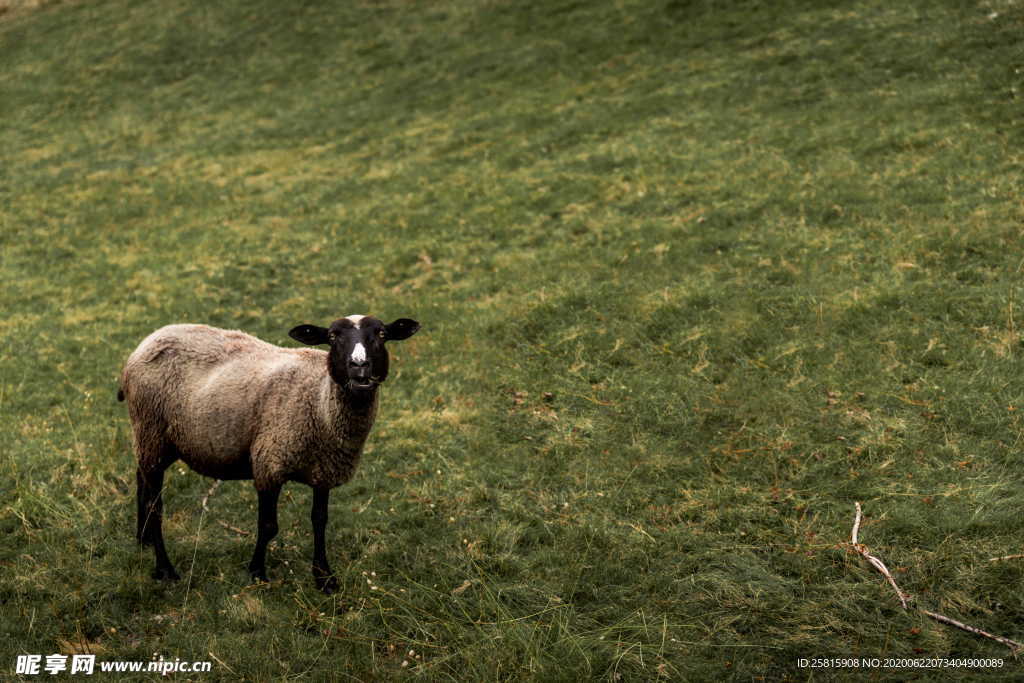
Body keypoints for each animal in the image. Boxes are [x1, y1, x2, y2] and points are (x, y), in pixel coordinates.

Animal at [118, 315, 419, 593]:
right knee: (156, 505)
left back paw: (143, 539)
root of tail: (147, 342)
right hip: (151, 430)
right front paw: (257, 572)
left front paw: (324, 577)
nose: (359, 367)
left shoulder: (323, 469)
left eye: (382, 334)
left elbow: (320, 520)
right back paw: (165, 569)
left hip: (153, 440)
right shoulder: (269, 463)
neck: (319, 401)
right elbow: (268, 525)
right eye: (333, 337)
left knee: (141, 480)